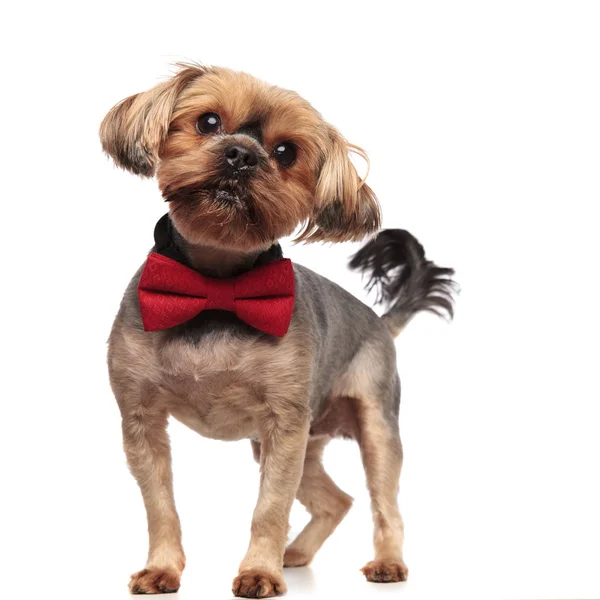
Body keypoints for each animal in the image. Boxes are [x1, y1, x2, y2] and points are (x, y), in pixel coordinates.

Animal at [101, 63, 454, 596]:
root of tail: (377, 318)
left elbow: (270, 508)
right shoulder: (141, 419)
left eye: (287, 152)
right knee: (337, 500)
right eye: (207, 122)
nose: (241, 155)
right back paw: (298, 553)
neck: (217, 290)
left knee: (384, 502)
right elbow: (160, 506)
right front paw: (163, 569)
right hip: (306, 438)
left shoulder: (284, 426)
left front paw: (258, 573)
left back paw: (387, 563)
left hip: (373, 424)